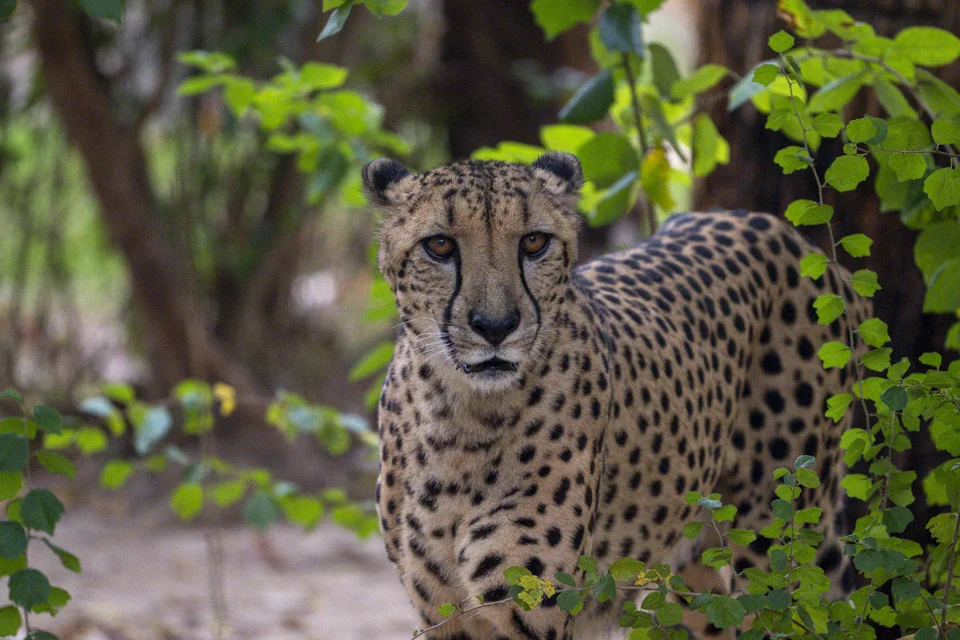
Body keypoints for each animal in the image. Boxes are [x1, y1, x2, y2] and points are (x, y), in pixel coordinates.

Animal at [363, 152, 869, 640]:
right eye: (439, 245)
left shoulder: (527, 608)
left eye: (534, 242)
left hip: (774, 543)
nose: (496, 326)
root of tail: (779, 229)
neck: (461, 417)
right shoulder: (441, 612)